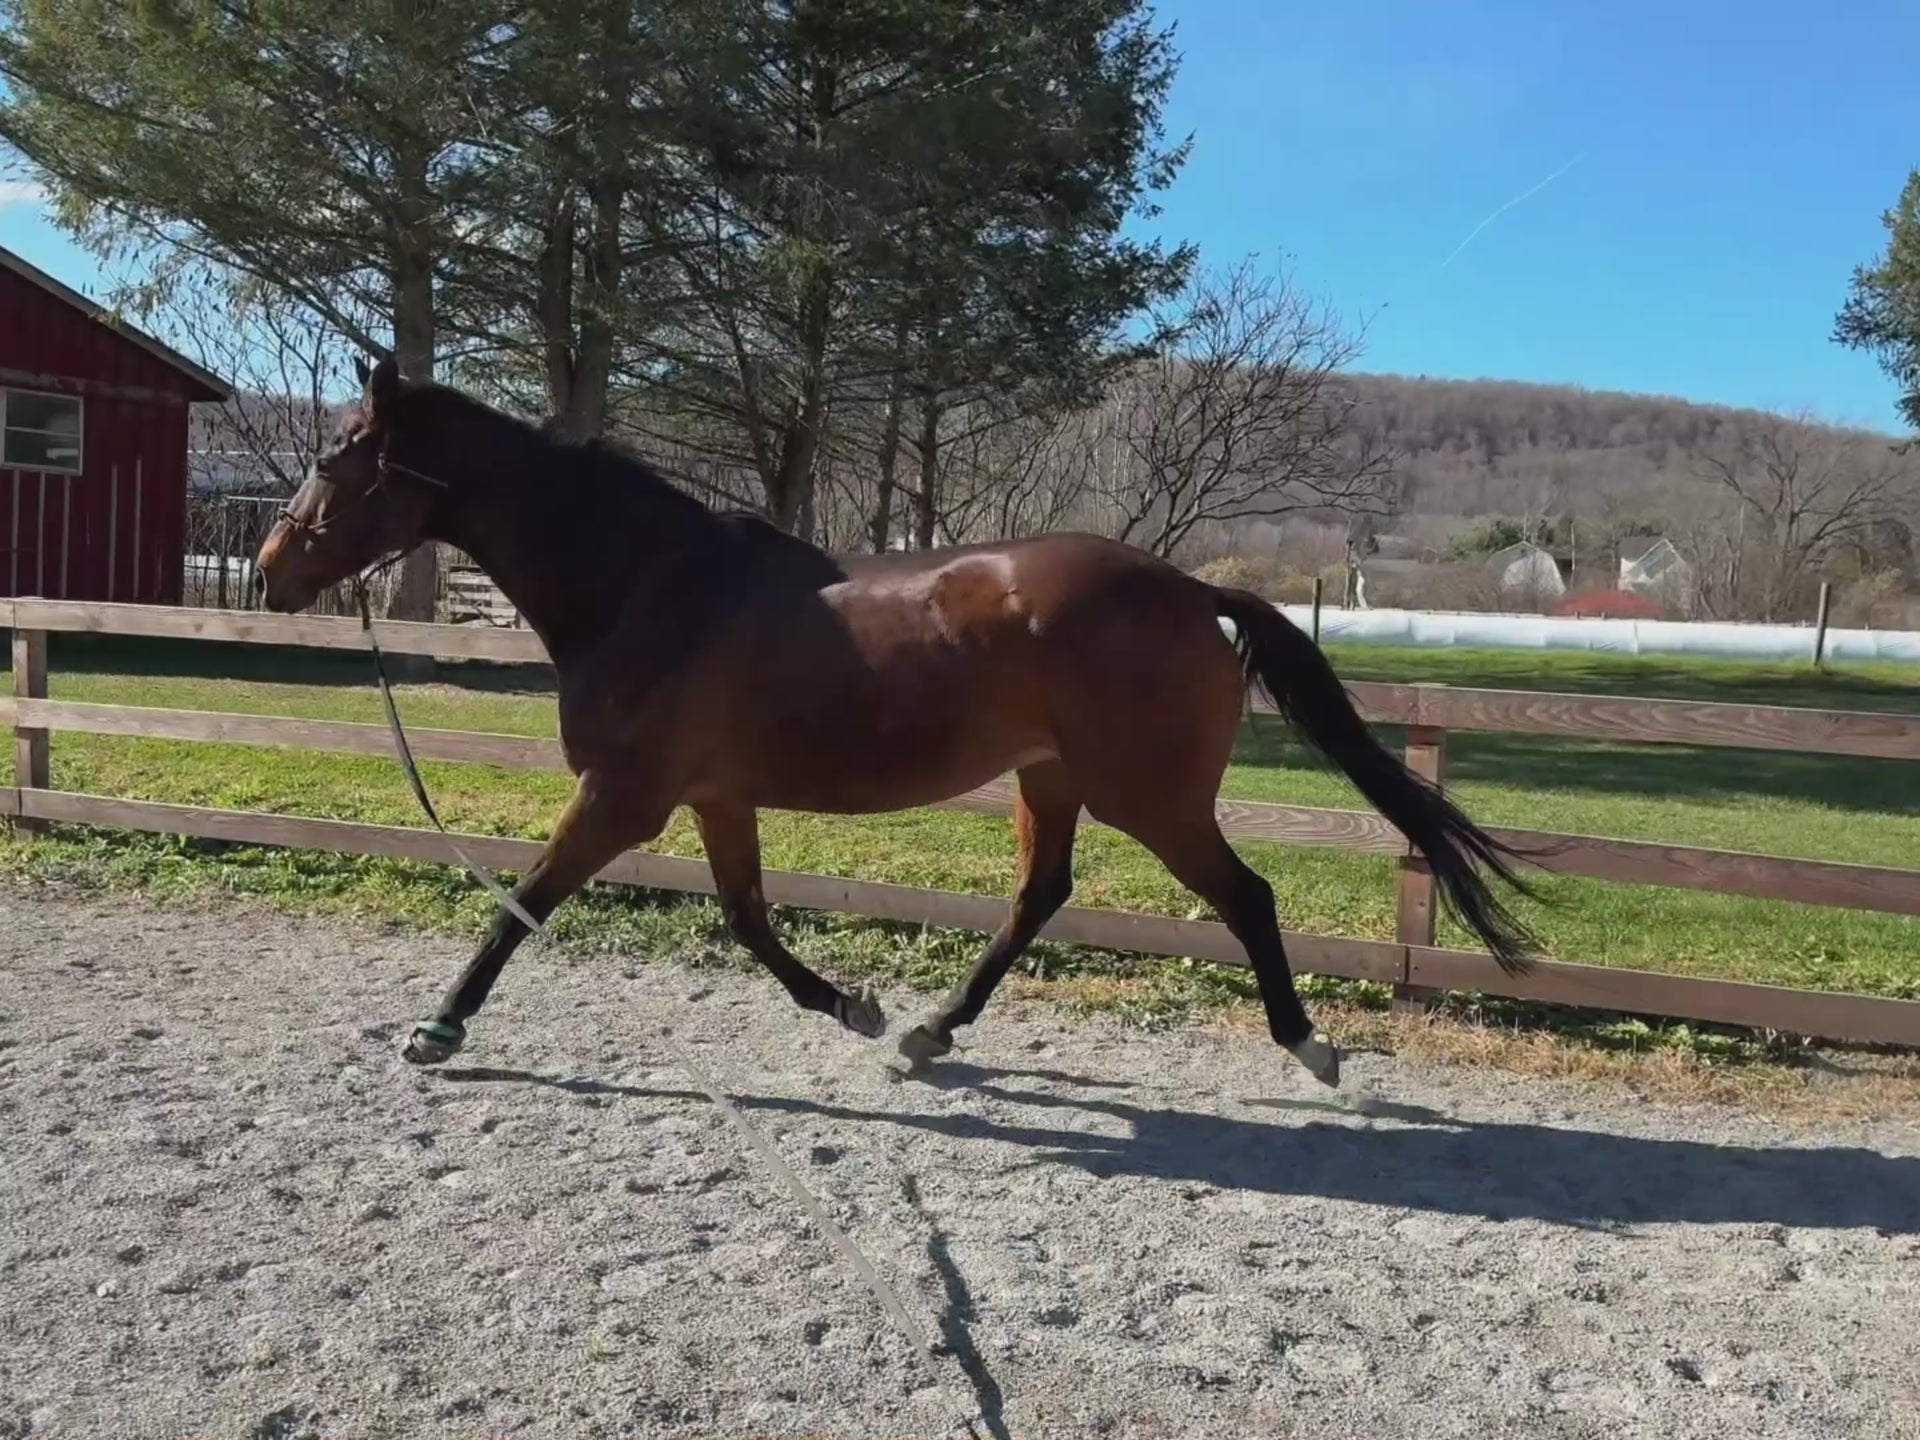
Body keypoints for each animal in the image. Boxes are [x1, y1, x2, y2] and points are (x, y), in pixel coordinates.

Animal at [255, 356, 1538, 1088]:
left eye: (341, 455)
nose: (269, 569)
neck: (648, 584)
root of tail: (1191, 590)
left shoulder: (622, 797)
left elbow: (521, 902)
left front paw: (438, 1030)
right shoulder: (712, 795)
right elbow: (748, 920)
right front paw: (855, 1008)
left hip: (1150, 796)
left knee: (1245, 896)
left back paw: (1310, 1046)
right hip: (1050, 780)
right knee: (1040, 896)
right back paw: (930, 1033)